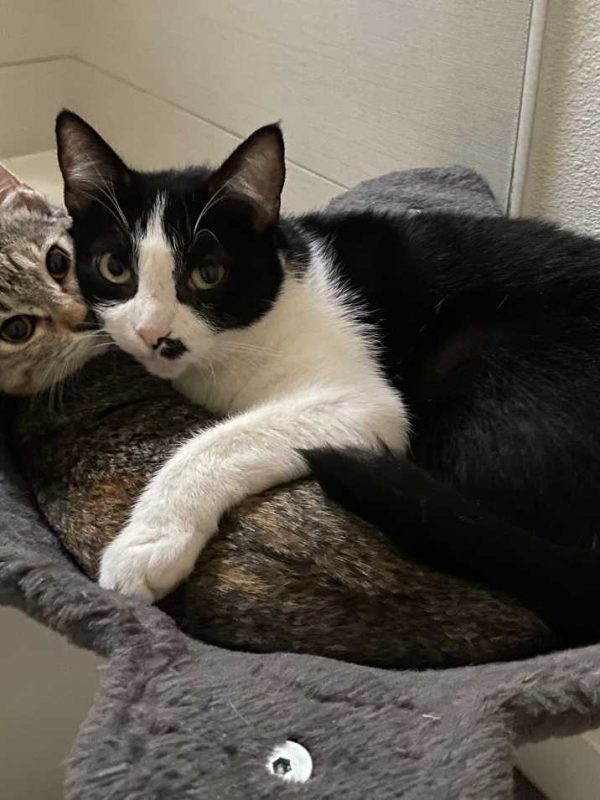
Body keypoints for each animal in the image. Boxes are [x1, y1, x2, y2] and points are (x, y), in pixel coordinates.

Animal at [56, 111, 600, 644]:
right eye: (114, 267)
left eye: (207, 275)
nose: (153, 333)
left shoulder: (363, 403)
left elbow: (219, 441)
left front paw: (148, 542)